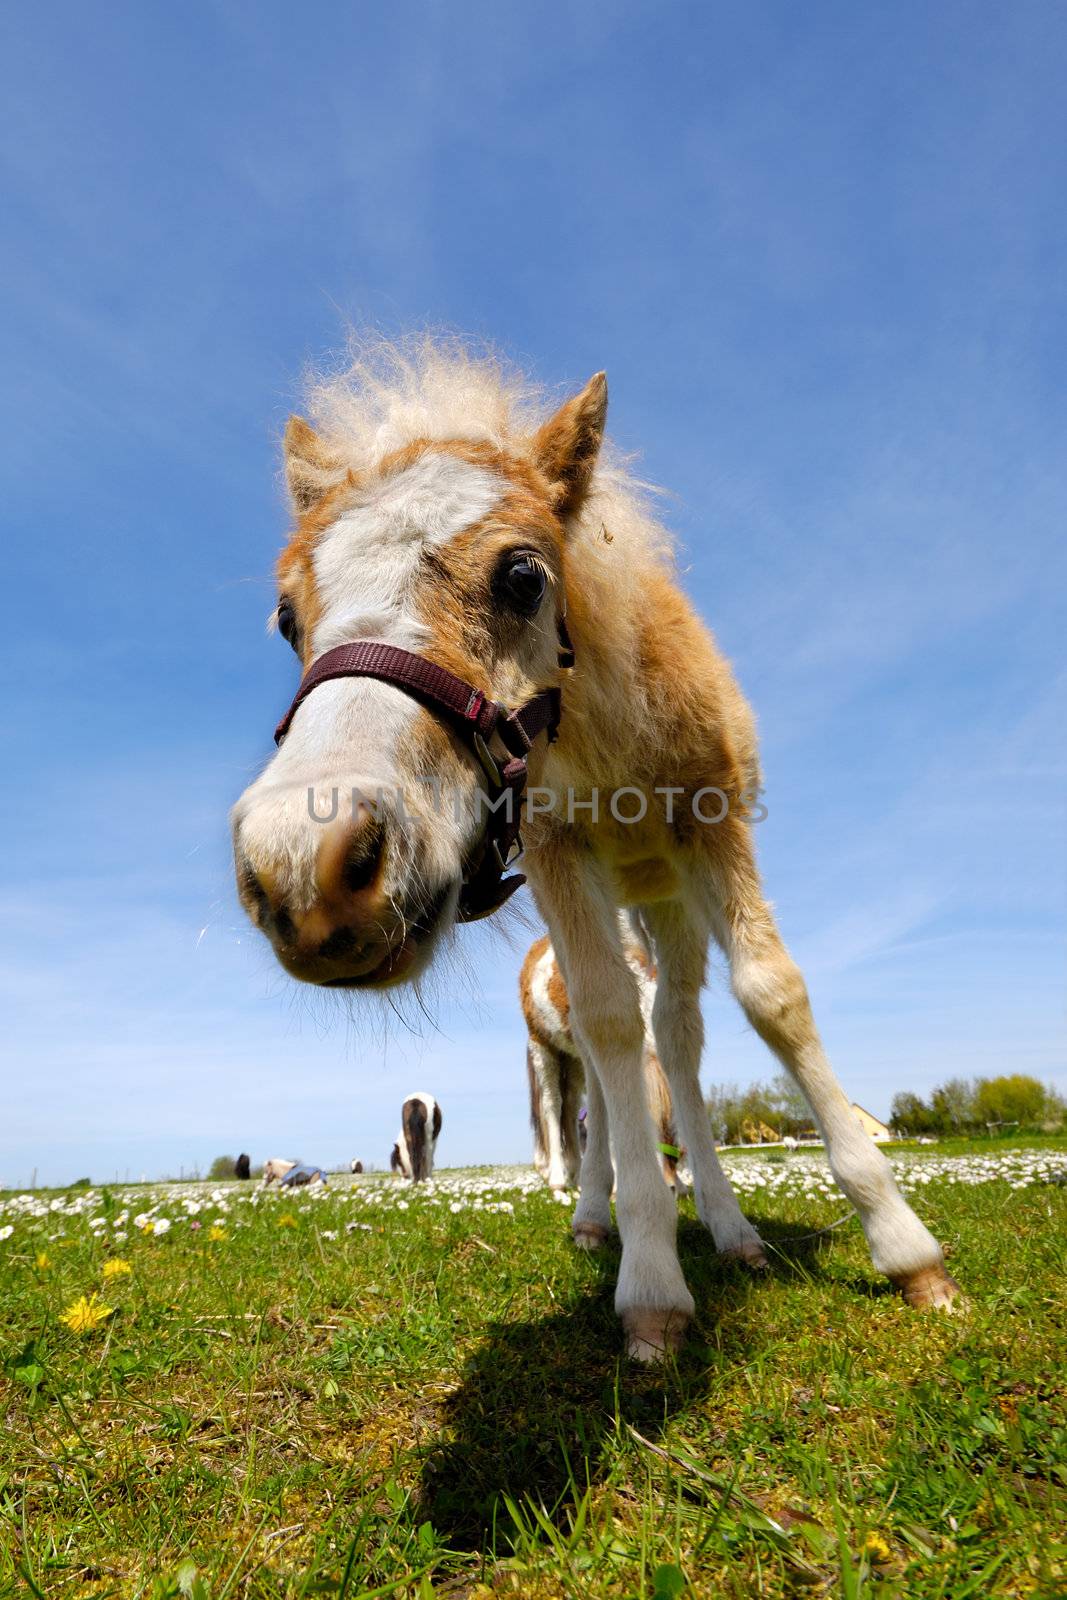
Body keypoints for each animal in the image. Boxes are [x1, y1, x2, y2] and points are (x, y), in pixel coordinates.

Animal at [518, 921, 684, 1196]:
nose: (669, 1187)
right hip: (542, 1047)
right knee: (553, 1105)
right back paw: (557, 1178)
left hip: (574, 1058)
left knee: (570, 1106)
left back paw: (578, 1176)